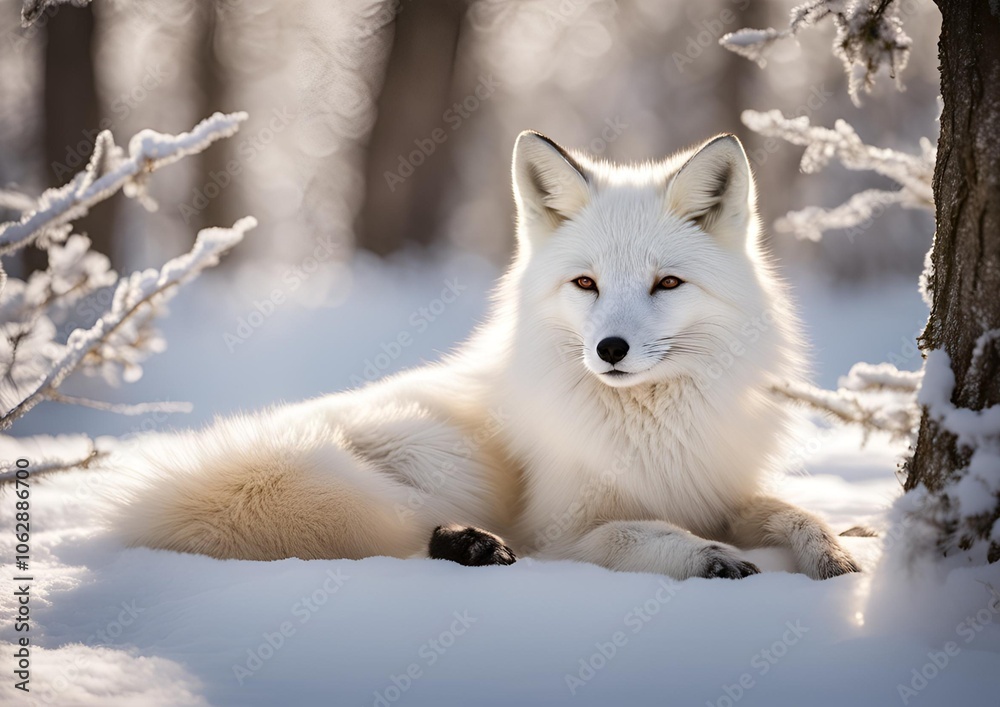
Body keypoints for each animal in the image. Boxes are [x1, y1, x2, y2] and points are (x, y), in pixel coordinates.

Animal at [112, 130, 861, 580]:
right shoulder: (563, 531)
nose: (609, 349)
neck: (653, 429)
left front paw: (835, 554)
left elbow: (796, 512)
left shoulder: (718, 487)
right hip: (434, 460)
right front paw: (707, 556)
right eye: (585, 283)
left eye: (667, 283)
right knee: (404, 534)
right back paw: (470, 545)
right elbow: (634, 533)